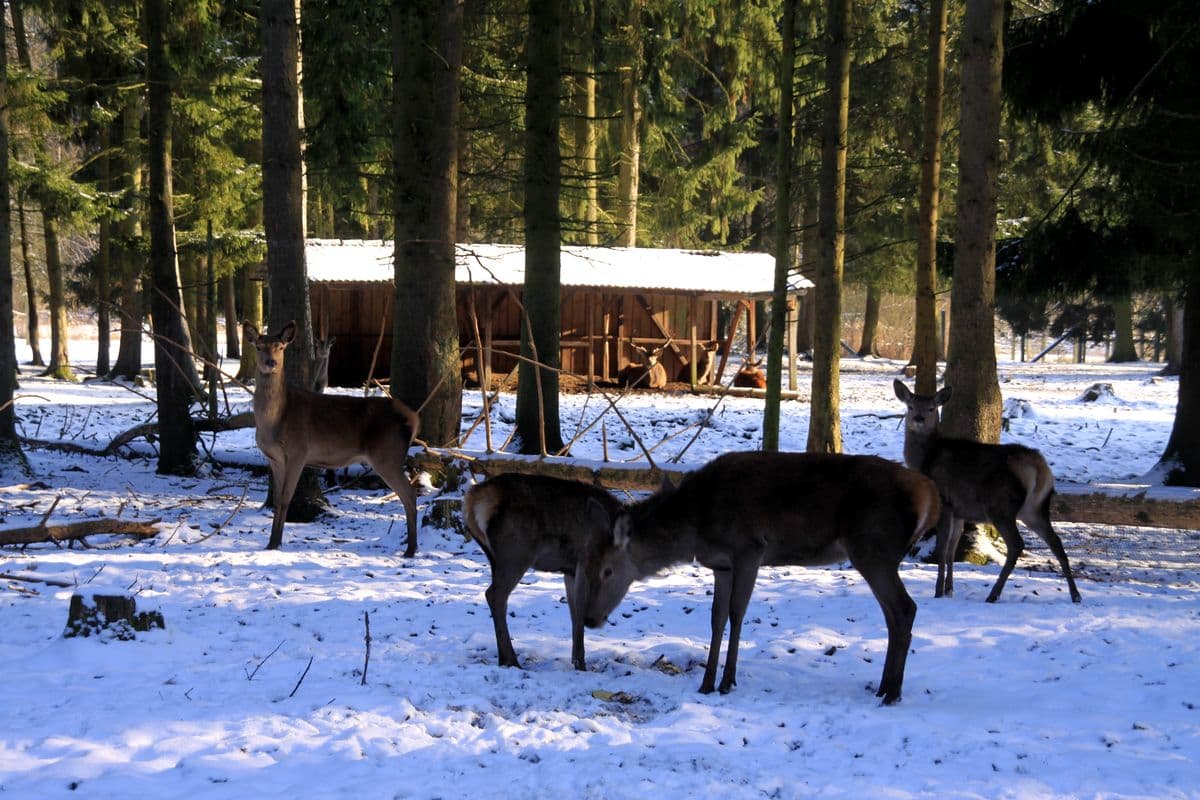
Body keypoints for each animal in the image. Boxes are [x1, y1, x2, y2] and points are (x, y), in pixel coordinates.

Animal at [243, 319, 422, 556]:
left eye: (280, 347)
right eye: (259, 346)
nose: (270, 362)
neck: (275, 421)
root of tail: (414, 418)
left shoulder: (298, 451)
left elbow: (285, 498)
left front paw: (275, 543)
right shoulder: (275, 458)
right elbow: (278, 499)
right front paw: (272, 542)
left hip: (387, 455)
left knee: (410, 494)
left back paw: (410, 549)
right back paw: (411, 547)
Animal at [460, 472, 624, 671]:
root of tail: (472, 498)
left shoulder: (570, 570)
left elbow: (574, 613)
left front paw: (576, 662)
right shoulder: (584, 563)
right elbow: (580, 612)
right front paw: (581, 666)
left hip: (495, 557)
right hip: (516, 553)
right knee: (495, 595)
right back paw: (510, 659)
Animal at [576, 450, 940, 705]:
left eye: (607, 570)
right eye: (586, 563)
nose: (590, 619)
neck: (696, 525)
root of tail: (930, 496)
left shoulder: (750, 549)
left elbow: (737, 614)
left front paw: (727, 682)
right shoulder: (721, 565)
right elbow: (717, 618)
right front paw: (706, 683)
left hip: (873, 548)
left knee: (905, 608)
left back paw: (893, 693)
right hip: (875, 555)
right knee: (892, 614)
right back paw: (883, 687)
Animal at [892, 381, 1089, 599]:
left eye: (931, 408)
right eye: (910, 406)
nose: (918, 419)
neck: (925, 461)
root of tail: (1039, 467)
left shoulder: (945, 501)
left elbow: (942, 550)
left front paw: (938, 592)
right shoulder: (959, 511)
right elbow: (951, 551)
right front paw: (949, 590)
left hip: (1001, 505)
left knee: (1017, 544)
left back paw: (994, 594)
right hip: (1035, 507)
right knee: (1056, 542)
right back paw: (1075, 595)